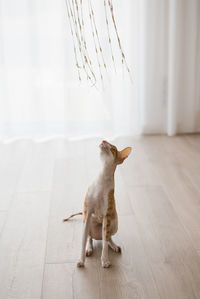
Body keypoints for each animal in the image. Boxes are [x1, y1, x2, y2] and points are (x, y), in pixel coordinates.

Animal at [62, 141, 131, 270]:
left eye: (113, 148)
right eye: (106, 141)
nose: (103, 140)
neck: (102, 178)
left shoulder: (106, 217)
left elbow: (105, 243)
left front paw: (105, 260)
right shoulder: (87, 214)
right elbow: (83, 240)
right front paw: (81, 260)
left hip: (114, 223)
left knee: (107, 238)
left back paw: (113, 245)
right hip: (89, 223)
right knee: (90, 237)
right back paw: (89, 249)